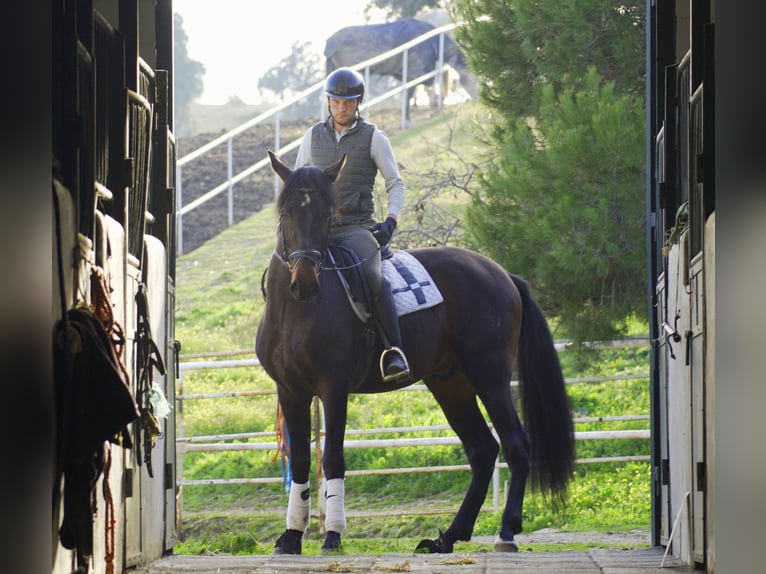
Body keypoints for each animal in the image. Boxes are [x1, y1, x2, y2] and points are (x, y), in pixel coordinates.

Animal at [258, 153, 576, 560]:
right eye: (287, 213)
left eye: (328, 215)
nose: (304, 282)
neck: (297, 312)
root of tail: (502, 273)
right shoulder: (291, 391)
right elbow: (300, 460)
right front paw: (291, 537)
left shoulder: (334, 388)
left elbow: (332, 459)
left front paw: (332, 535)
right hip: (451, 384)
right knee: (482, 450)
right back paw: (449, 537)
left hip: (490, 378)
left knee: (516, 445)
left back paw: (506, 531)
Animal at [322, 19, 476, 122]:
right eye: (472, 75)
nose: (477, 97)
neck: (435, 42)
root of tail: (329, 44)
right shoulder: (416, 72)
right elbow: (409, 94)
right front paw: (407, 121)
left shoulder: (408, 74)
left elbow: (408, 94)